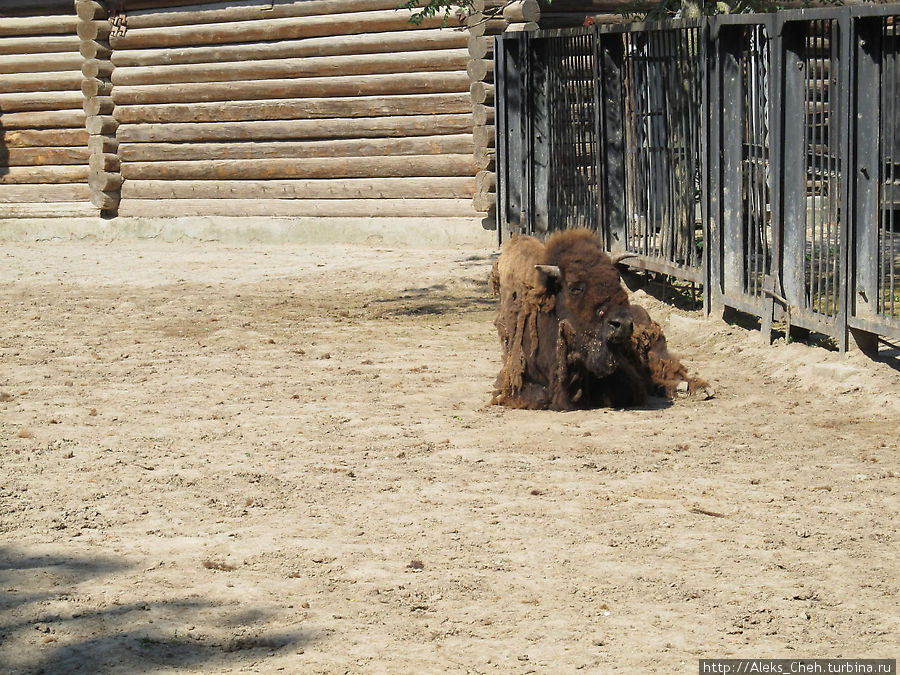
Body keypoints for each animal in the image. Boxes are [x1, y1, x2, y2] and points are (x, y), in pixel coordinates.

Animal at [488, 230, 712, 410]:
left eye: (616, 279)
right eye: (574, 287)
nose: (623, 324)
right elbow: (540, 396)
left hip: (656, 353)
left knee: (671, 370)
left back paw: (698, 389)